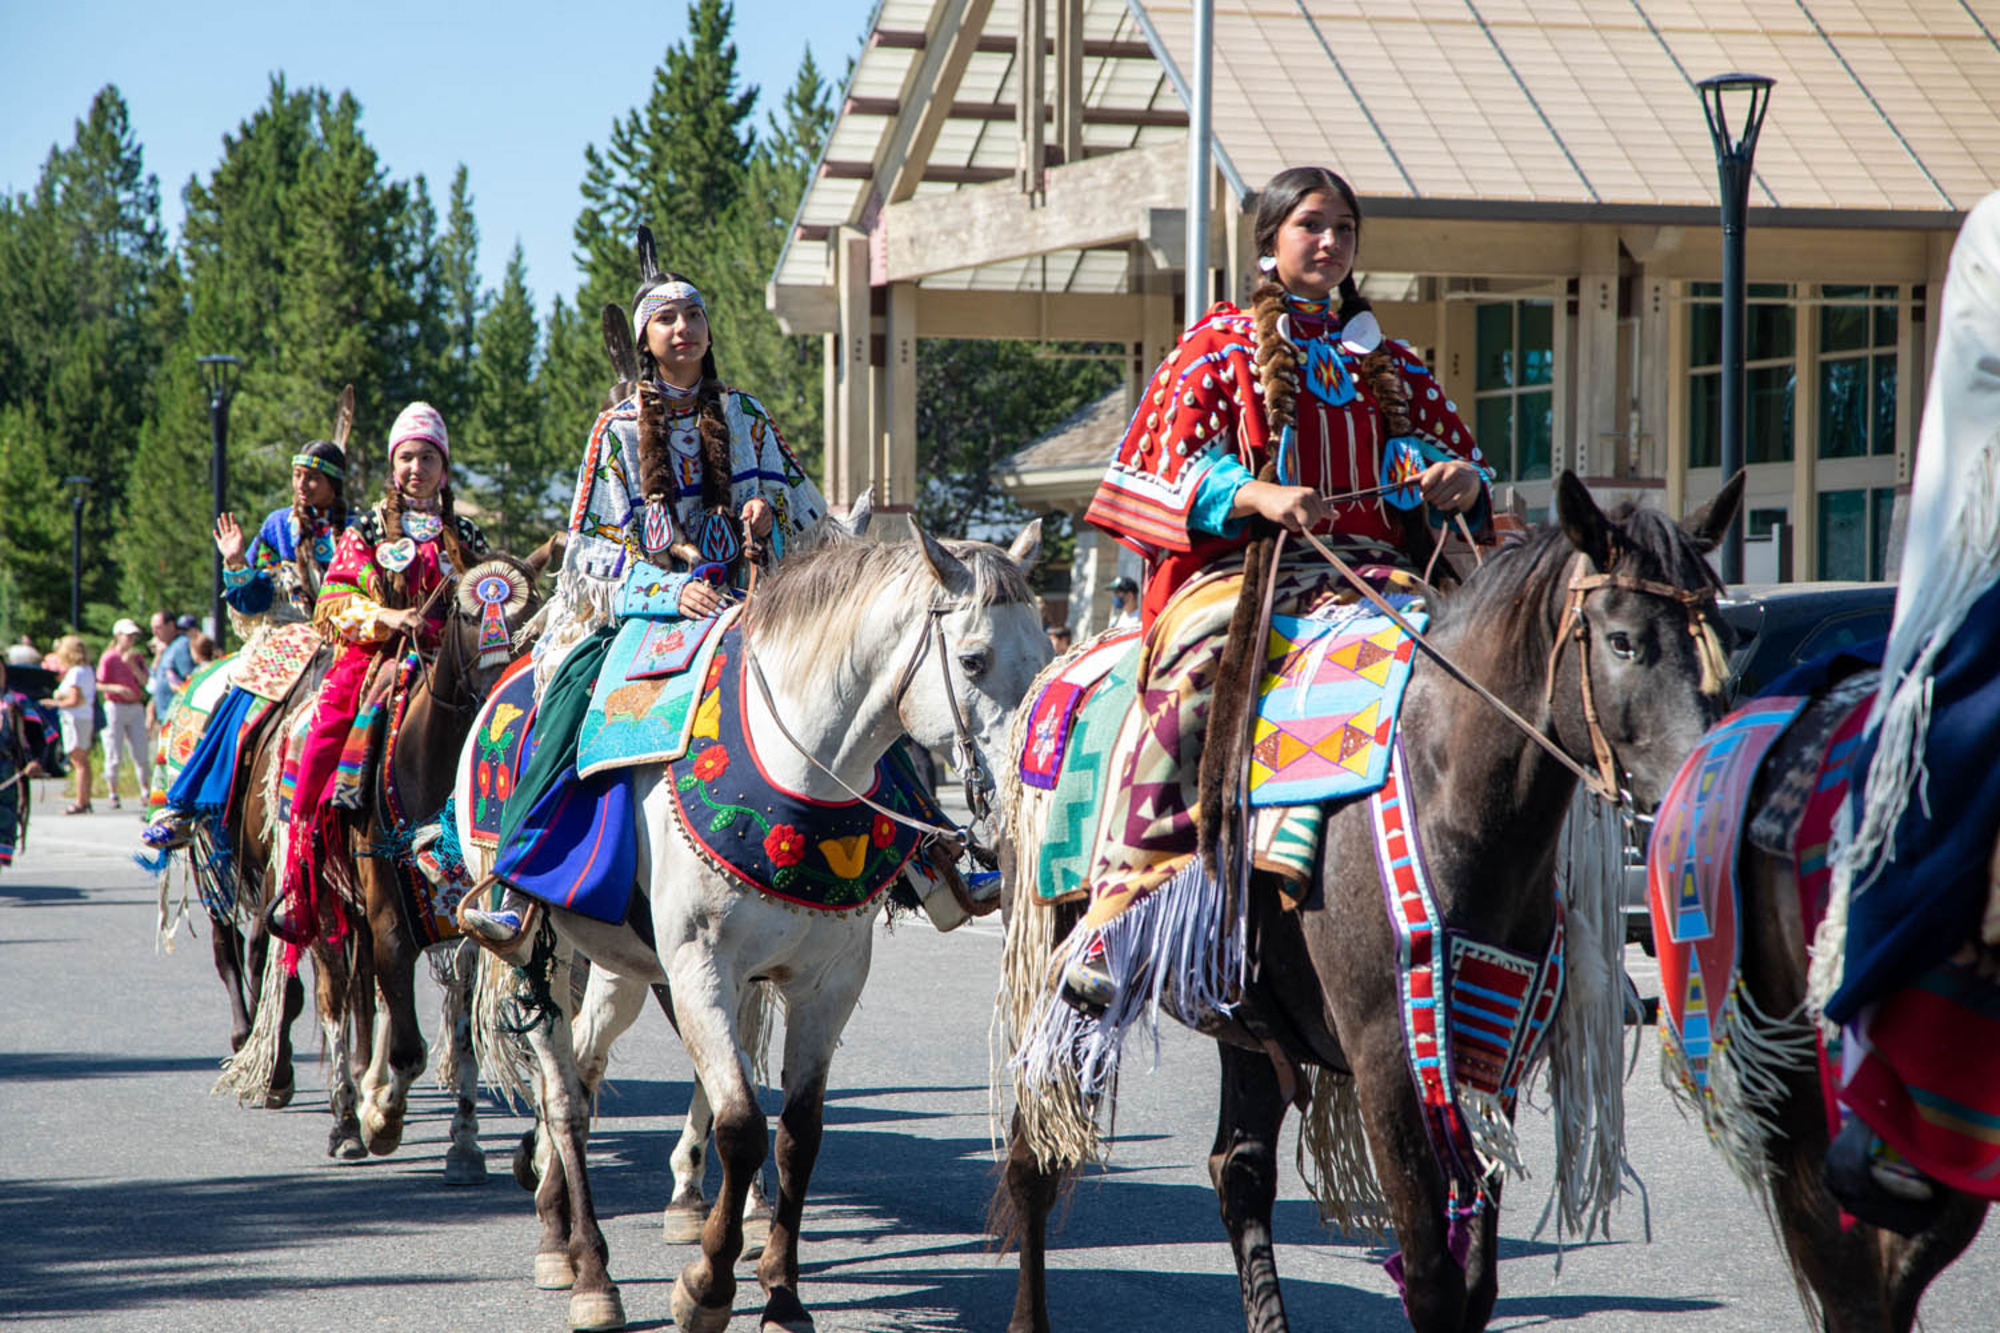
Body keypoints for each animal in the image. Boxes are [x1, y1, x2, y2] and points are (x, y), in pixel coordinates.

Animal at [456, 520, 1048, 1328]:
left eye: (1046, 657)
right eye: (973, 659)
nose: (1023, 798)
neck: (799, 770)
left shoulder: (826, 983)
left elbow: (799, 1134)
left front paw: (781, 1292)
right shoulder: (701, 966)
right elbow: (740, 1126)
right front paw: (707, 1286)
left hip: (621, 965)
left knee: (585, 1064)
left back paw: (556, 1210)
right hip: (535, 950)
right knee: (564, 1098)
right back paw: (584, 1267)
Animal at [992, 472, 1744, 1320]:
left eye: (1720, 631)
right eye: (1622, 640)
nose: (1702, 793)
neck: (1447, 791)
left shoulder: (1488, 1052)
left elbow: (1472, 1280)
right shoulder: (1387, 1055)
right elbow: (1431, 1277)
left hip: (1245, 1018)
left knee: (1238, 1171)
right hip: (1050, 978)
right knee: (1034, 1157)